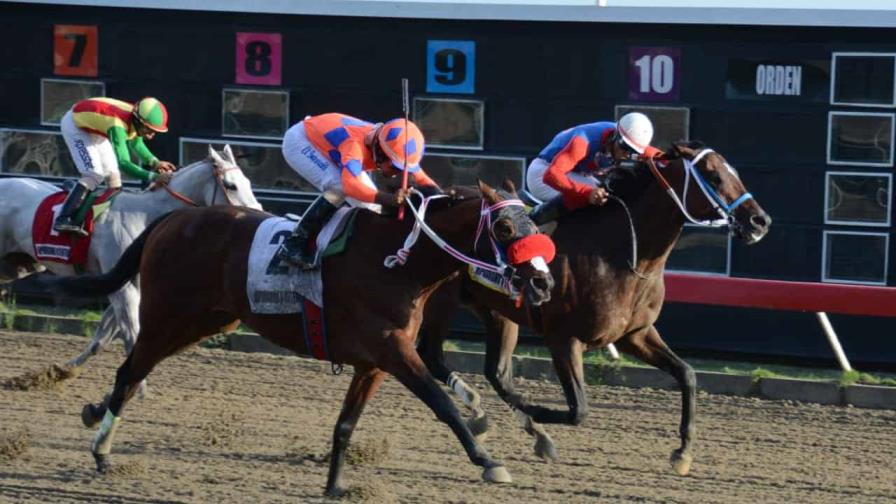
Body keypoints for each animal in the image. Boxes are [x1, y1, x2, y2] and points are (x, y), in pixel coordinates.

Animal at [0, 146, 262, 394]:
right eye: (231, 185)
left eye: (248, 182)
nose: (257, 214)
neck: (143, 217)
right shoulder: (124, 288)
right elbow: (131, 333)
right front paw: (138, 388)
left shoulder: (125, 282)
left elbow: (103, 336)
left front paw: (60, 372)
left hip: (16, 266)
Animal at [43, 182, 560, 496]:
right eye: (504, 227)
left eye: (533, 224)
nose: (542, 283)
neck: (400, 262)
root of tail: (169, 221)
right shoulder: (394, 350)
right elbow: (443, 405)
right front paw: (488, 460)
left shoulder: (374, 362)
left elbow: (346, 424)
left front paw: (335, 486)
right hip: (169, 315)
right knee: (131, 370)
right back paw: (102, 450)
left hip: (208, 322)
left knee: (133, 370)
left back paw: (96, 421)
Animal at [416, 142, 772, 476]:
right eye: (713, 176)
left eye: (732, 171)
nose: (760, 221)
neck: (623, 254)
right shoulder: (563, 339)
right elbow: (579, 410)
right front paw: (534, 411)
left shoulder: (635, 334)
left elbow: (687, 374)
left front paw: (683, 452)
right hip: (440, 301)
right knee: (431, 354)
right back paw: (487, 412)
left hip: (496, 310)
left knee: (497, 373)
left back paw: (512, 424)